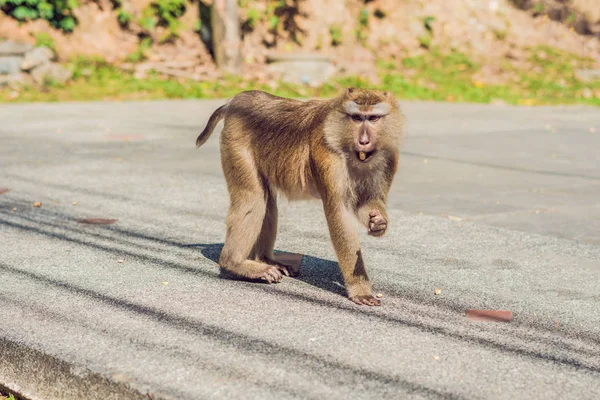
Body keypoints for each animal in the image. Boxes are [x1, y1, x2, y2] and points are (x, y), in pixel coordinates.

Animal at [197, 88, 404, 306]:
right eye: (356, 118)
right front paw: (359, 288)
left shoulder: (389, 156)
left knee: (267, 200)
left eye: (373, 118)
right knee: (253, 199)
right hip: (236, 142)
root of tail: (236, 101)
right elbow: (339, 212)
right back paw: (236, 263)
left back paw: (264, 259)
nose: (363, 141)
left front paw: (379, 223)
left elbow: (368, 201)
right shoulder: (328, 156)